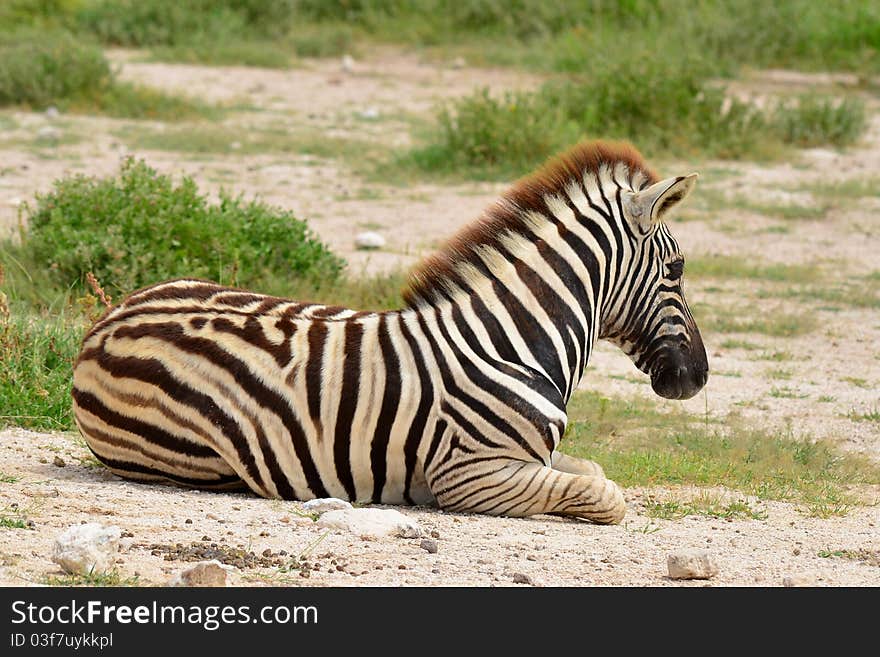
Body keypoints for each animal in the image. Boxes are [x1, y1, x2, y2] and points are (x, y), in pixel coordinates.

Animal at [72, 141, 712, 524]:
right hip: (195, 456)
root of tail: (107, 322)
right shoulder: (472, 475)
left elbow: (594, 472)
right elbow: (608, 495)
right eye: (678, 269)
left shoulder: (529, 458)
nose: (699, 377)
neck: (509, 342)